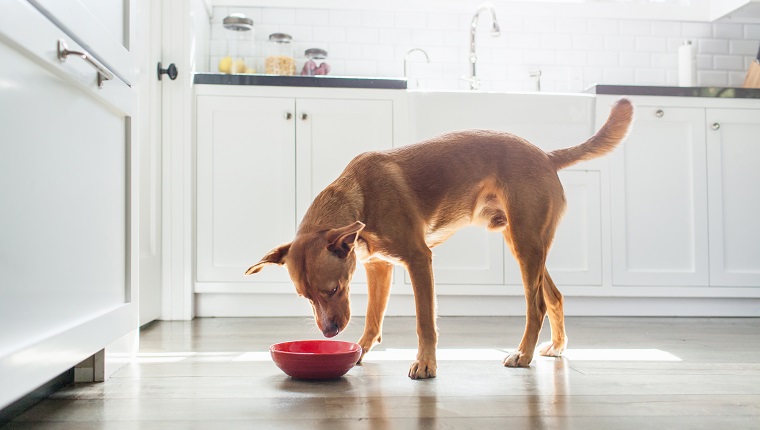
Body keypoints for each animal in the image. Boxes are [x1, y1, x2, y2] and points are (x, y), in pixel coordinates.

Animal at [246, 98, 632, 380]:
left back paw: (523, 354)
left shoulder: (419, 260)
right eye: (306, 297)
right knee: (554, 296)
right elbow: (373, 319)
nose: (328, 334)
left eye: (333, 289)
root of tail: (546, 156)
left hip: (525, 244)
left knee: (535, 305)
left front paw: (426, 364)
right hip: (524, 243)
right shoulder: (378, 267)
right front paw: (360, 351)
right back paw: (557, 346)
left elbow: (424, 322)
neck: (360, 195)